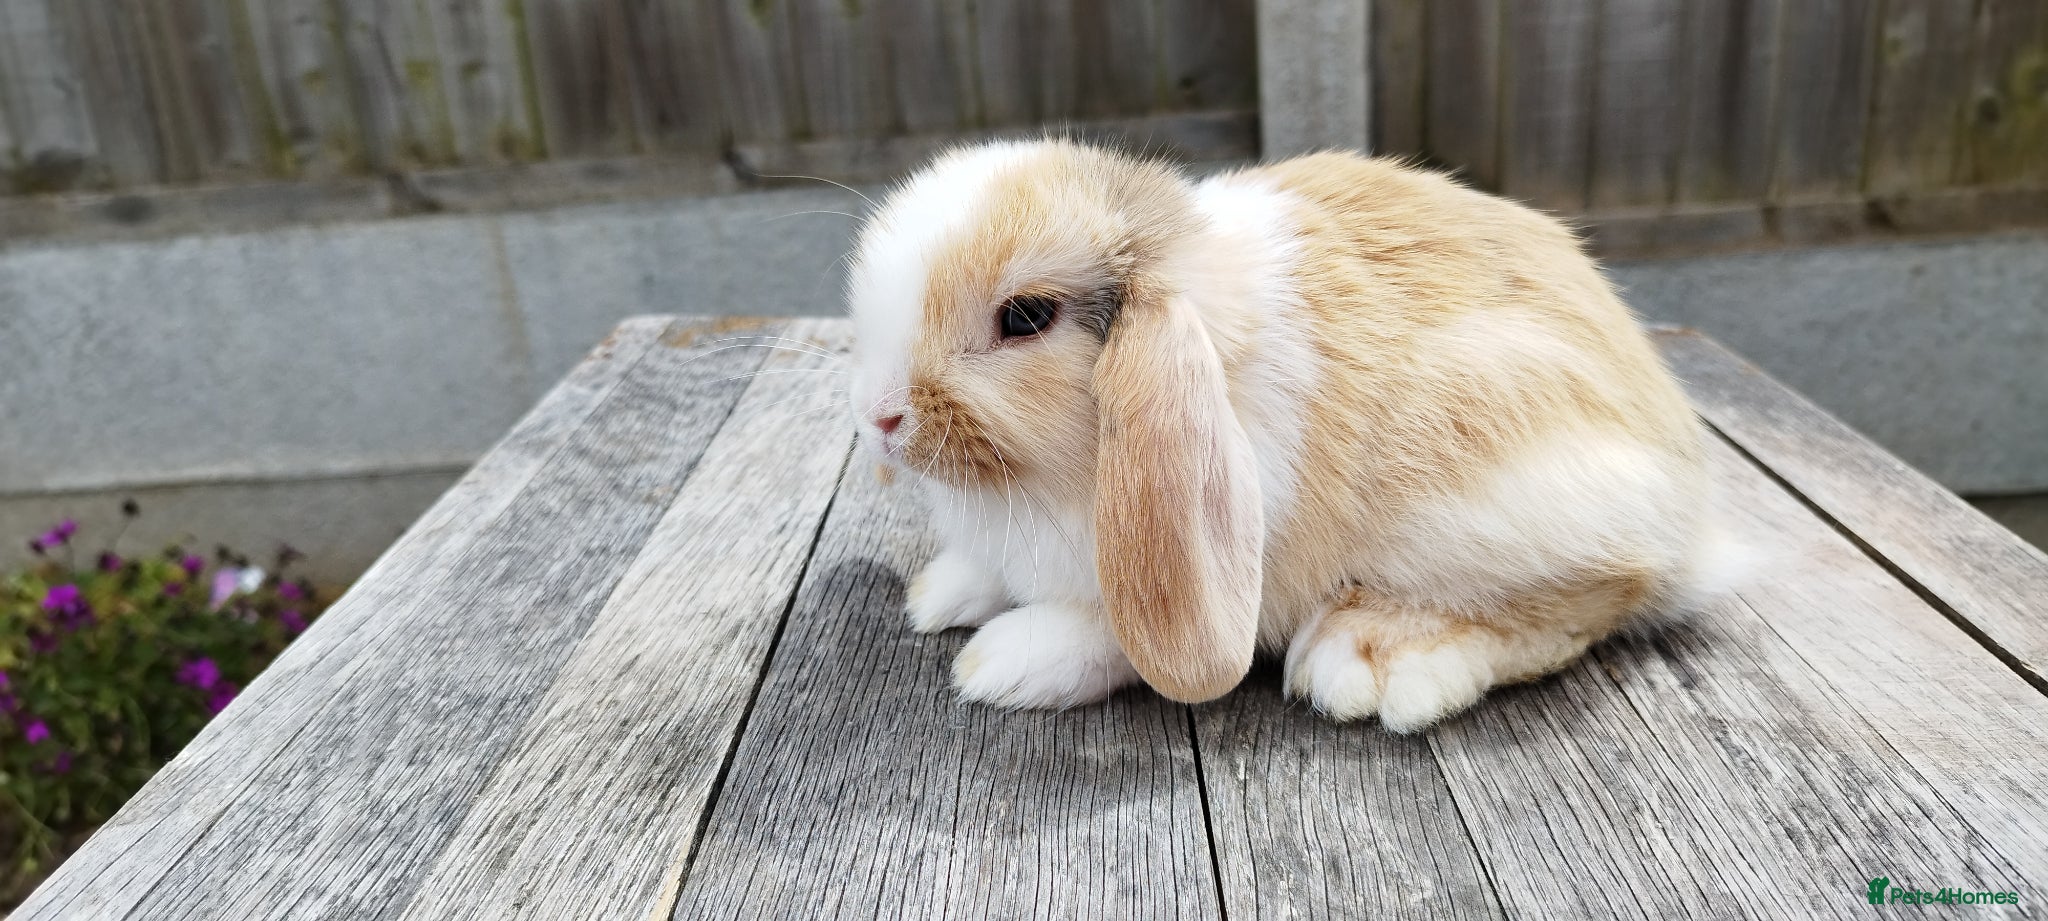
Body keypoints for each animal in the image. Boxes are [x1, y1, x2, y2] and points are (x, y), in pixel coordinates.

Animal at [843, 139, 1727, 732]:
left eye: (1025, 317)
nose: (880, 417)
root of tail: (1691, 513)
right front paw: (938, 595)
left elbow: (1108, 637)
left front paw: (997, 663)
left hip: (1508, 502)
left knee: (1593, 600)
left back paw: (1369, 656)